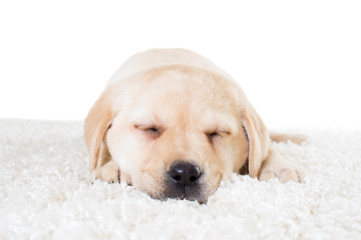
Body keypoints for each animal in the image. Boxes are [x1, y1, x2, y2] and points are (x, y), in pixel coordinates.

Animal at [85, 48, 304, 202]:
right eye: (149, 128)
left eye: (217, 133)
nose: (185, 173)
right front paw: (115, 168)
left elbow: (264, 150)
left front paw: (279, 168)